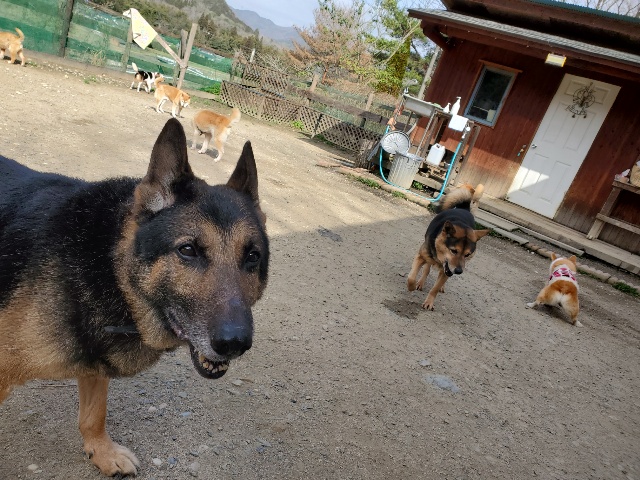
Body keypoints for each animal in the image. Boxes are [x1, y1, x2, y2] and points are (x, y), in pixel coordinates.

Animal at [0, 119, 269, 477]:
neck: (109, 268)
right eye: (188, 250)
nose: (235, 343)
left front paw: (101, 452)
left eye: (252, 257)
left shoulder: (96, 363)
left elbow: (94, 414)